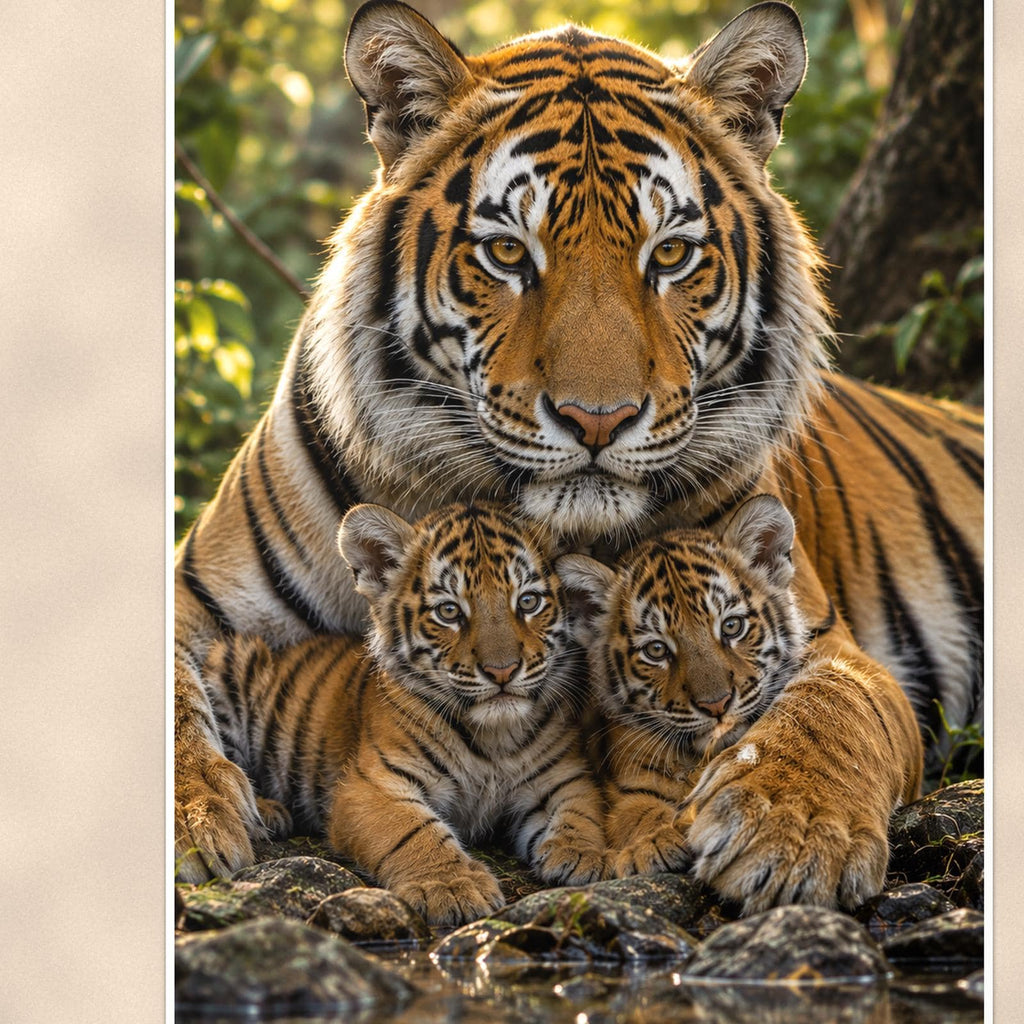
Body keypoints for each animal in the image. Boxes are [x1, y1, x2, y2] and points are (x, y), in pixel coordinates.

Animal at [200, 501, 606, 926]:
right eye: (449, 611)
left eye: (528, 602)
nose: (502, 671)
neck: (493, 735)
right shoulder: (372, 785)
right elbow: (413, 831)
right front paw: (452, 886)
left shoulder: (561, 775)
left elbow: (581, 809)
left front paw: (582, 855)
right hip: (229, 665)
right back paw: (264, 812)